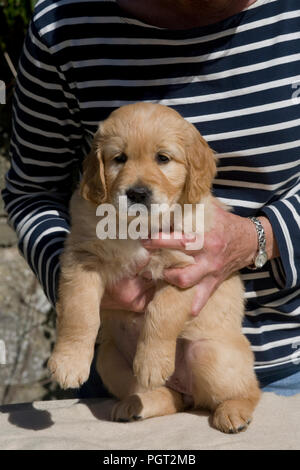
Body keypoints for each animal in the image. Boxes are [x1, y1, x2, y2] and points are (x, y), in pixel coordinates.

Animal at [47, 103, 260, 434]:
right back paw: (135, 406)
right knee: (174, 399)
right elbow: (79, 311)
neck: (137, 227)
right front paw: (69, 362)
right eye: (119, 158)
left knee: (251, 390)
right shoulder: (82, 258)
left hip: (210, 354)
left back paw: (233, 411)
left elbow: (162, 312)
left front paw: (152, 362)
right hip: (108, 358)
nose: (137, 194)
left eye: (163, 158)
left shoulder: (187, 268)